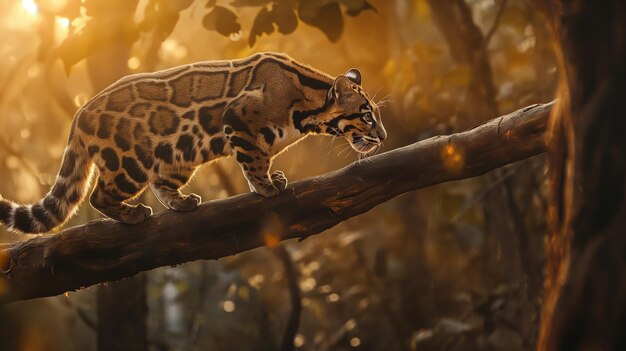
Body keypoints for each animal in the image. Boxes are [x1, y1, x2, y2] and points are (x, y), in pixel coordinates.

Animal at [0, 52, 386, 234]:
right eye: (367, 115)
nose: (383, 136)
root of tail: (78, 116)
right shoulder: (238, 117)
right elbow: (254, 160)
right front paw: (265, 187)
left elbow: (261, 158)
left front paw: (270, 179)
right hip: (130, 163)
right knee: (98, 196)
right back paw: (133, 213)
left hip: (178, 155)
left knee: (160, 182)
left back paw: (181, 202)